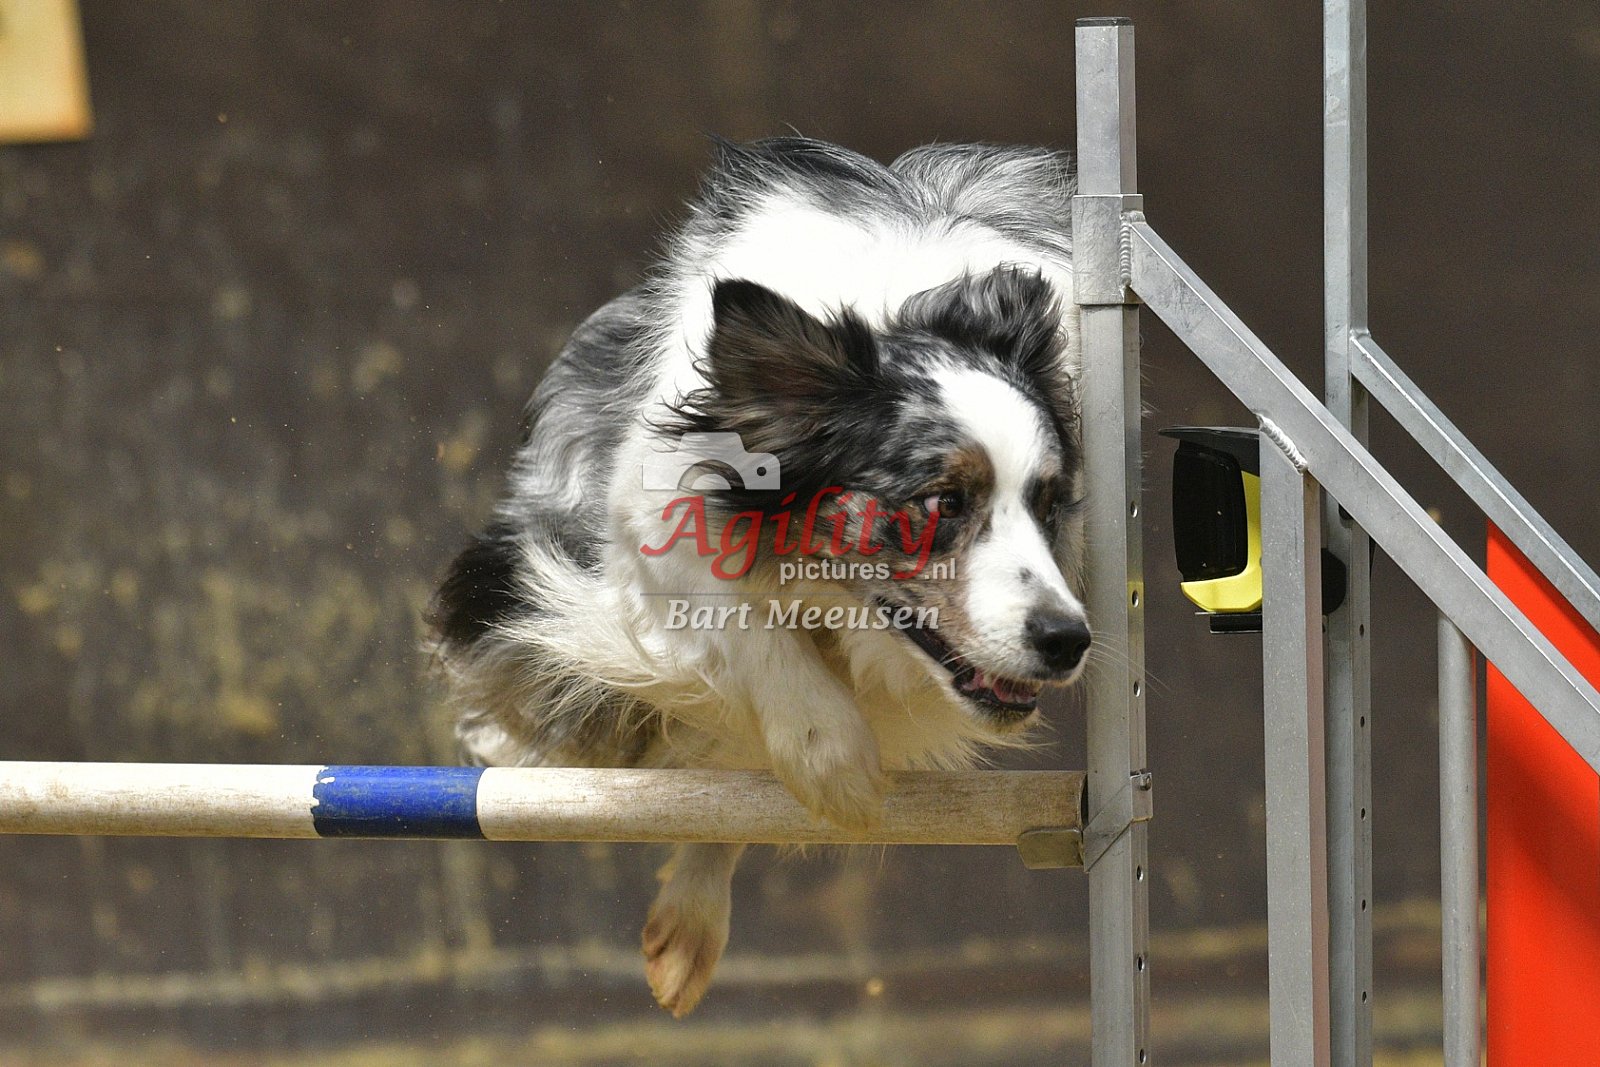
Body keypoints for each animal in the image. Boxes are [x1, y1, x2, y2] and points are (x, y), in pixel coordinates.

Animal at [429, 137, 1091, 1017]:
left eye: (1051, 502)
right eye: (944, 501)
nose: (1067, 640)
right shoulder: (654, 521)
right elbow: (750, 633)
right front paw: (835, 767)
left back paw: (688, 927)